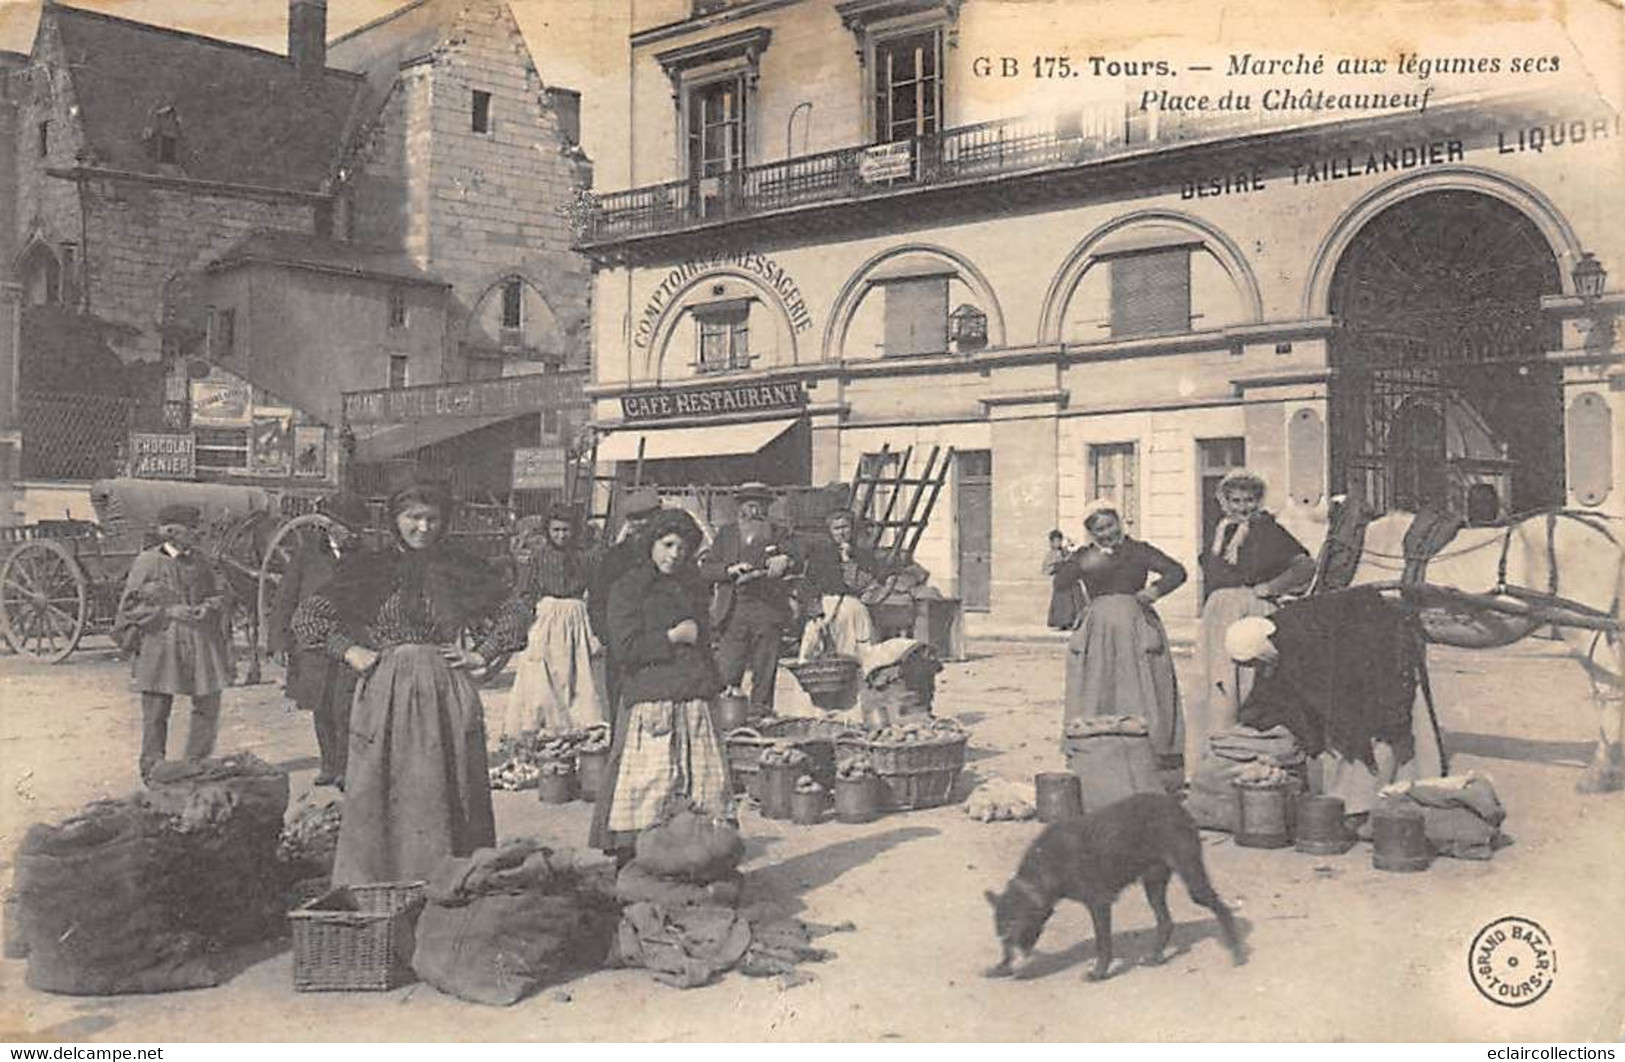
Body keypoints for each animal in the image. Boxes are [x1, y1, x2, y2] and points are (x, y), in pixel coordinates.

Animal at [988, 798, 1241, 980]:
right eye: (1001, 934)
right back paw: (1155, 957)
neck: (1046, 866)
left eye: (1014, 929)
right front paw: (999, 967)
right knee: (1166, 922)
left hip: (1191, 877)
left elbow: (1103, 942)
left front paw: (1099, 972)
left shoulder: (1099, 903)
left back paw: (1238, 952)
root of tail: (1178, 807)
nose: (1011, 968)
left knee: (1222, 908)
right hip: (1153, 883)